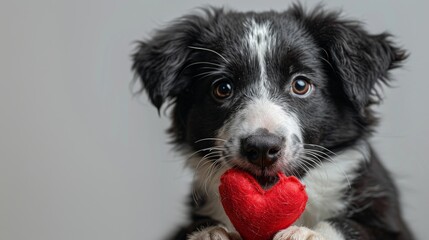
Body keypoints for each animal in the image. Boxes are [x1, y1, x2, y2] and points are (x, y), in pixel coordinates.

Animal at [132, 4, 412, 240]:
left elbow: (345, 224)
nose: (262, 148)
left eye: (301, 85)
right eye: (223, 88)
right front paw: (209, 233)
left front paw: (305, 233)